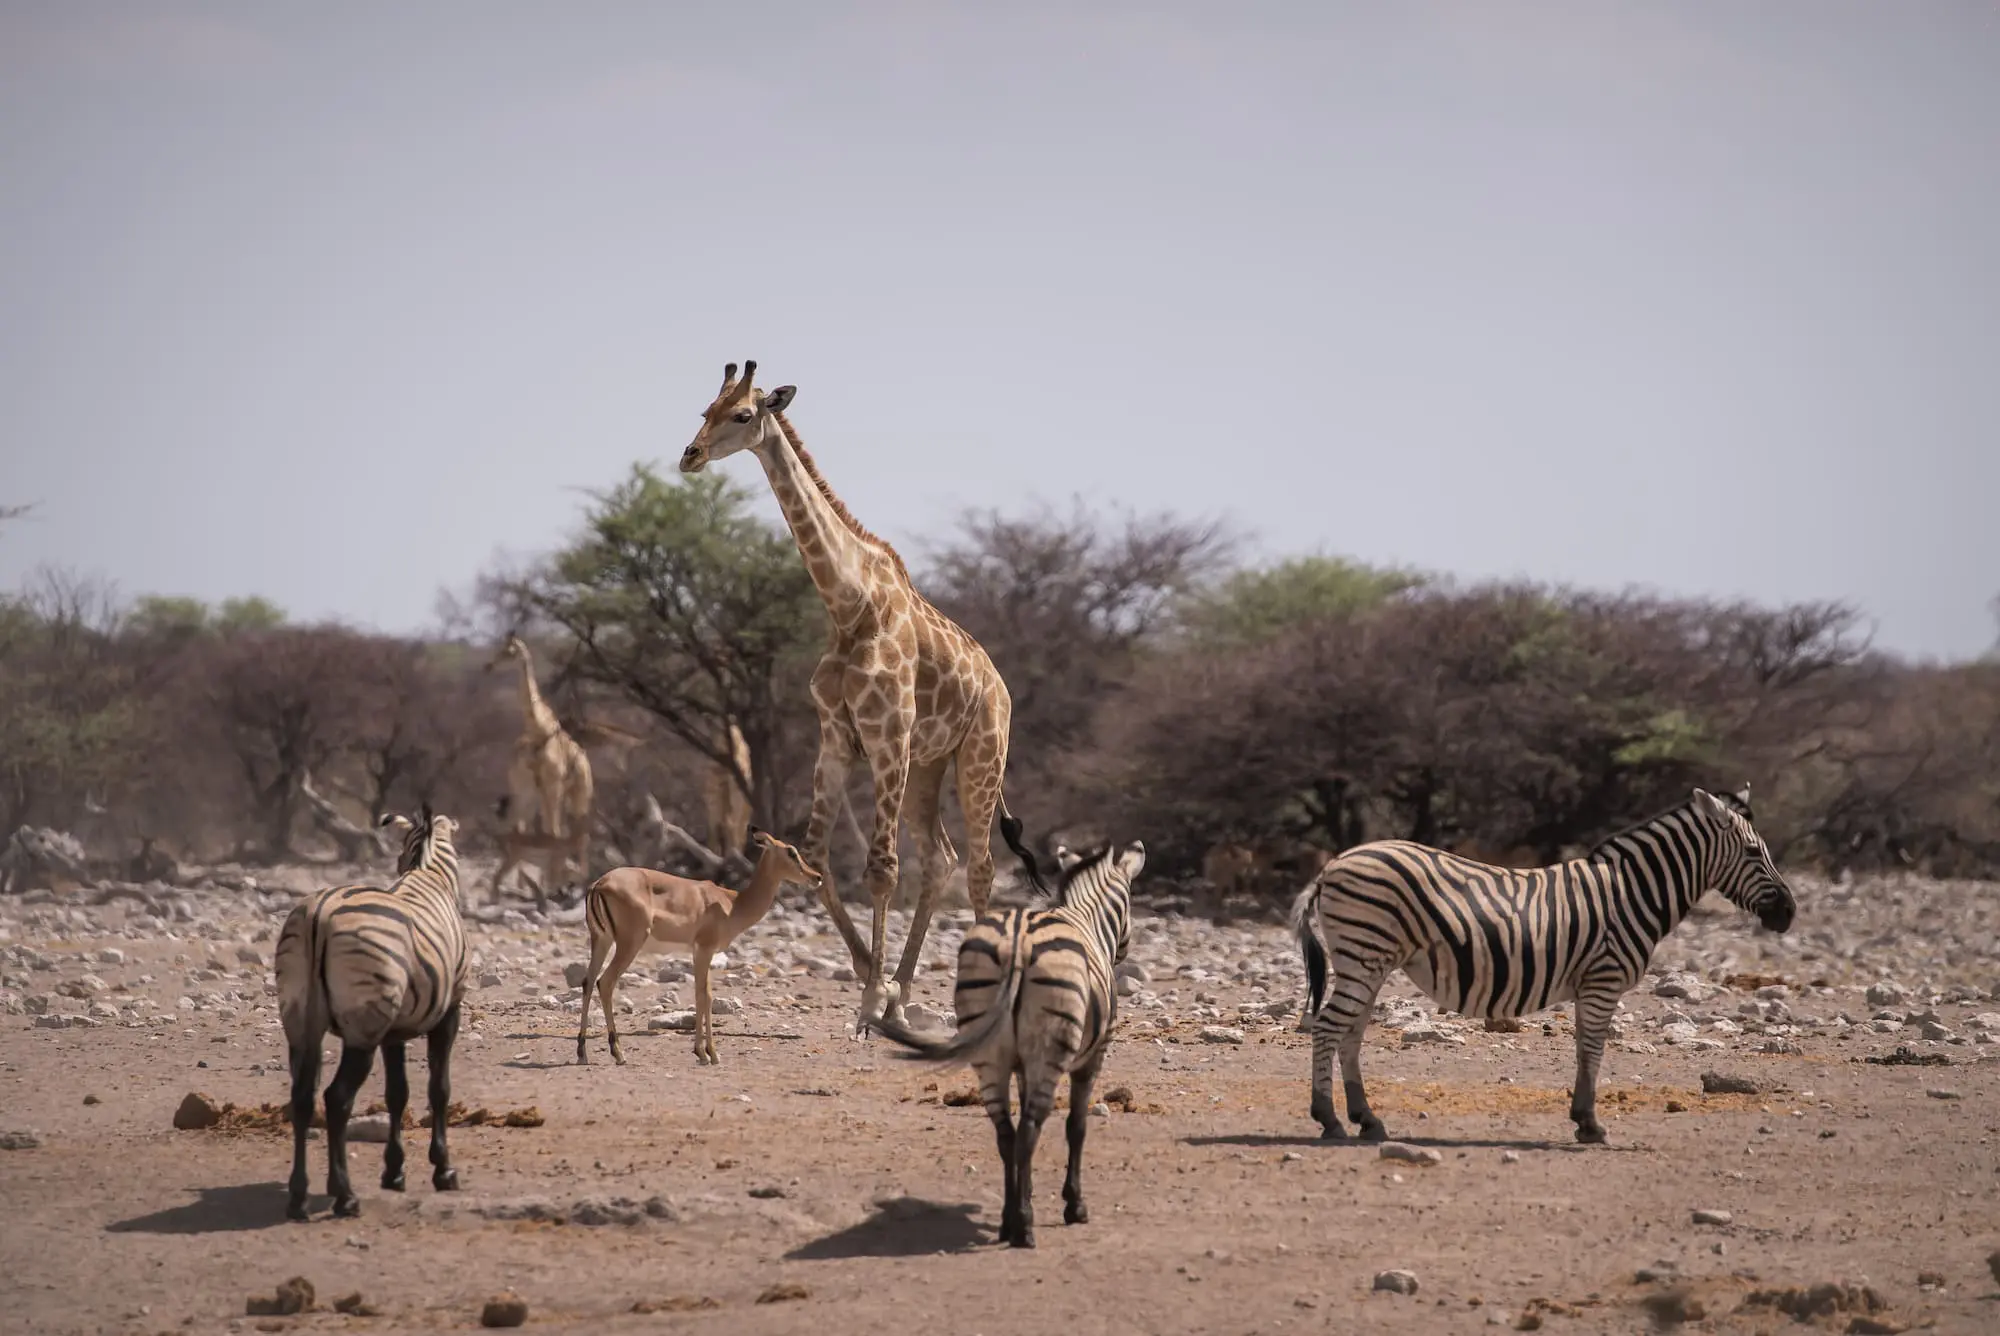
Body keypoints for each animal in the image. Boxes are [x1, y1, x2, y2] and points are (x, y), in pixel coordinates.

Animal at [274, 806, 471, 1220]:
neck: (428, 874)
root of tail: (319, 914)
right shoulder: (449, 1012)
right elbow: (438, 1089)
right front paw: (443, 1170)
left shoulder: (392, 1029)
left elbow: (398, 1093)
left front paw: (394, 1172)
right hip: (361, 1031)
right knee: (336, 1099)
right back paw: (345, 1196)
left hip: (301, 1025)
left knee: (302, 1098)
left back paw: (299, 1197)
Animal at [486, 632, 595, 907]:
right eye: (500, 649)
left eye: (510, 651)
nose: (488, 666)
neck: (538, 729)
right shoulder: (524, 789)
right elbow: (526, 831)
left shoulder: (552, 786)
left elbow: (552, 832)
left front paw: (553, 886)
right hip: (537, 795)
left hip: (578, 794)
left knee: (579, 834)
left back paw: (574, 885)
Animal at [680, 359, 1030, 1032]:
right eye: (703, 411)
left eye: (742, 414)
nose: (691, 455)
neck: (849, 606)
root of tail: (1001, 686)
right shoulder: (838, 738)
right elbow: (815, 858)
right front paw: (879, 986)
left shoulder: (886, 735)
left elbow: (880, 869)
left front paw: (869, 1000)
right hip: (928, 766)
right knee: (942, 858)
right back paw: (906, 990)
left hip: (979, 759)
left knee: (979, 867)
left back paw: (977, 1003)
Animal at [875, 833, 1148, 1248]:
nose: (1124, 951)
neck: (1083, 916)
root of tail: (1019, 940)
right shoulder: (1092, 1058)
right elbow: (1076, 1127)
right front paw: (1074, 1205)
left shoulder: (1021, 1065)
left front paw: (1028, 1193)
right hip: (1046, 1054)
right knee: (1030, 1130)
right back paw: (1024, 1226)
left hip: (990, 1054)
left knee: (1006, 1133)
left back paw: (1010, 1219)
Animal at [1293, 786, 1795, 1145]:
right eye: (1754, 853)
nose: (1789, 913)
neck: (1632, 893)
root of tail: (1333, 864)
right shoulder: (1603, 980)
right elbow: (1593, 1050)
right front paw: (1590, 1124)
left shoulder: (1590, 984)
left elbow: (1583, 1050)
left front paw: (1581, 1117)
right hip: (1364, 953)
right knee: (1329, 1027)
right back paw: (1329, 1119)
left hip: (1369, 960)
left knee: (1350, 1033)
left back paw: (1367, 1119)